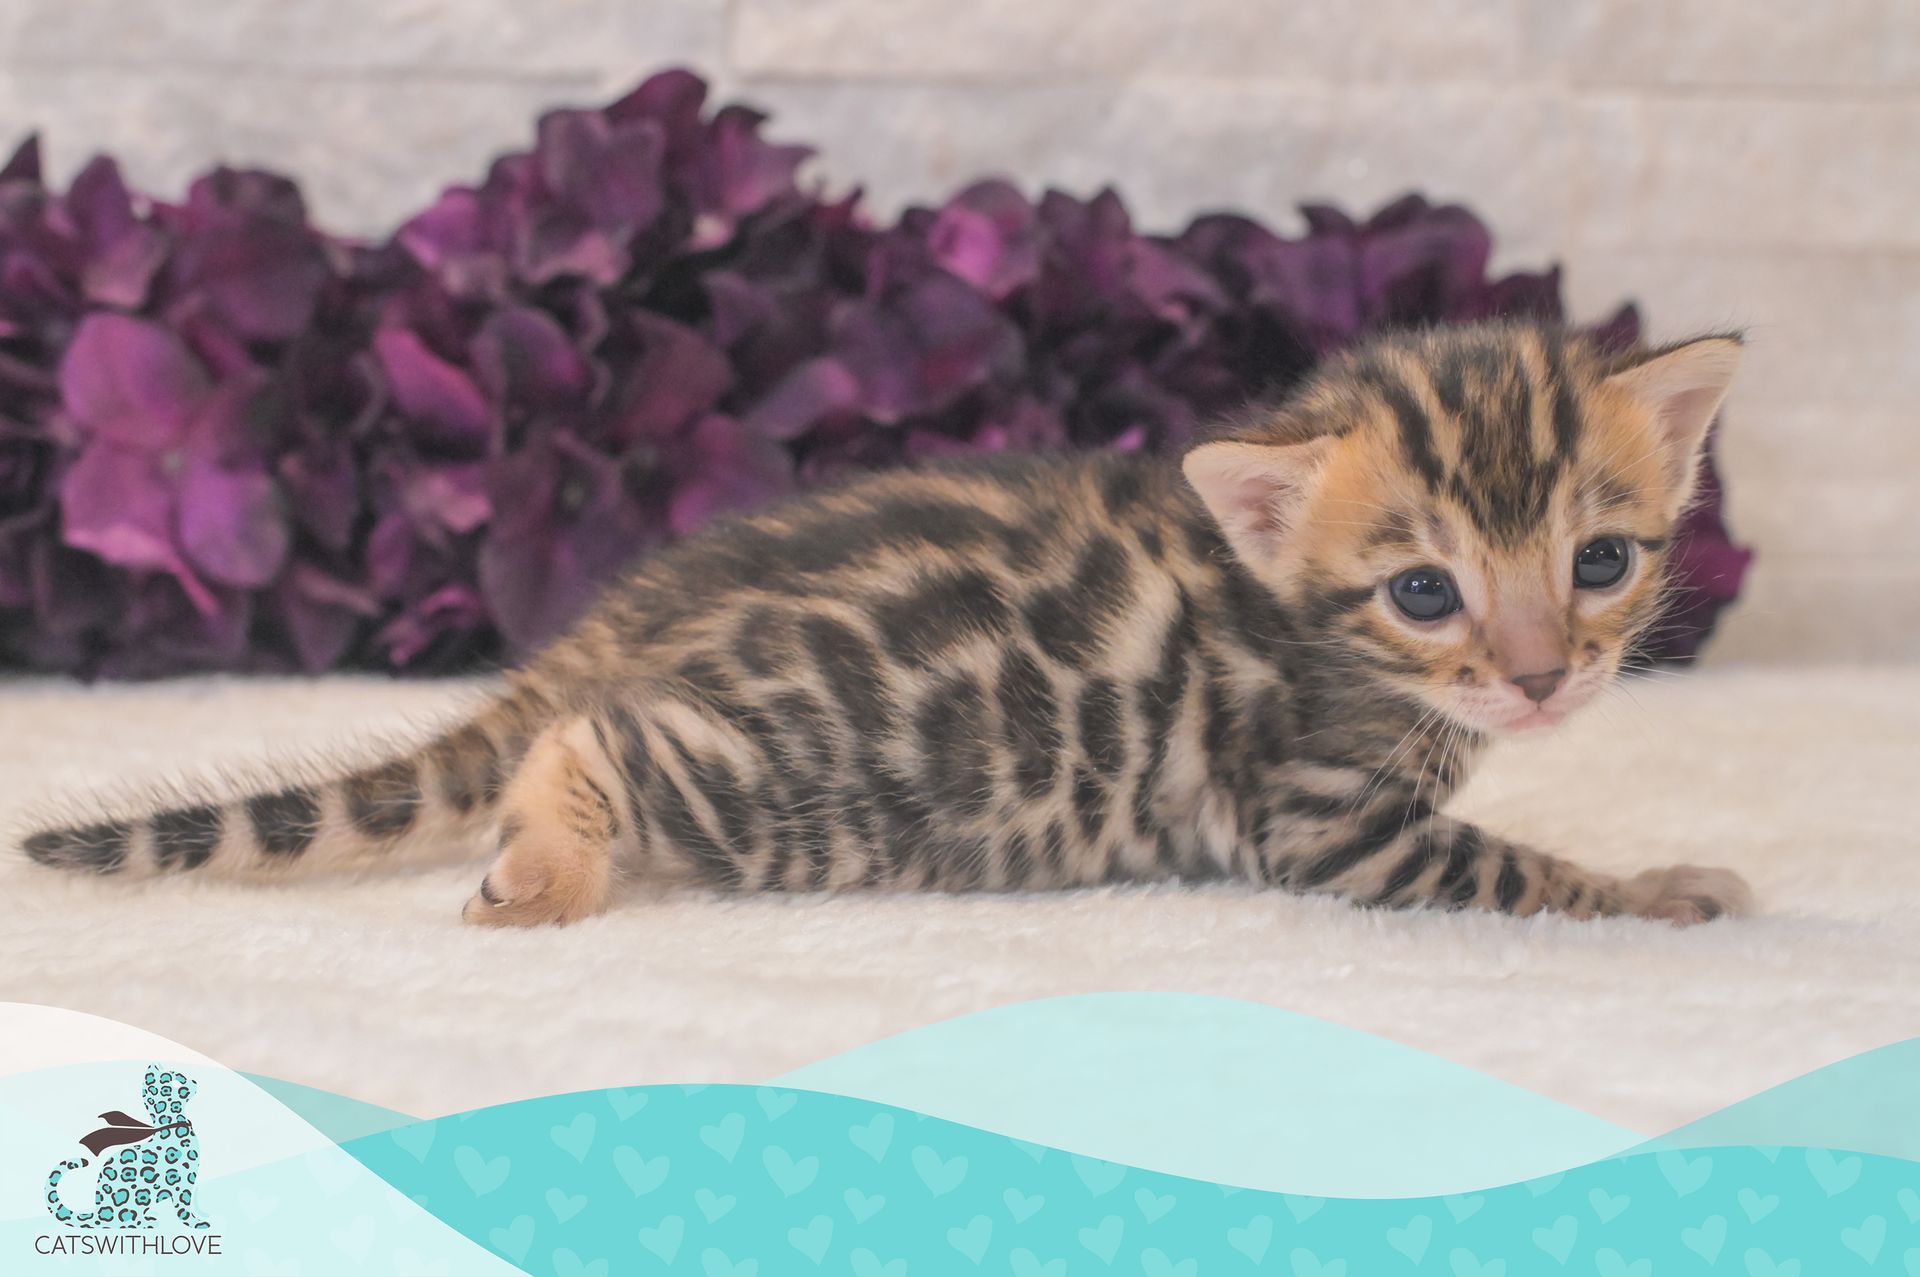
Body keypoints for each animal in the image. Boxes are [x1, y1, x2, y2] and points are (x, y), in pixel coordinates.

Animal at [22, 324, 1758, 925]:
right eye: (1422, 591)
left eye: (1601, 561)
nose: (1541, 677)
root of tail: (628, 614)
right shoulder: (1329, 820)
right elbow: (1521, 874)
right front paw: (1663, 891)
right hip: (792, 793)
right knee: (586, 743)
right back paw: (549, 863)